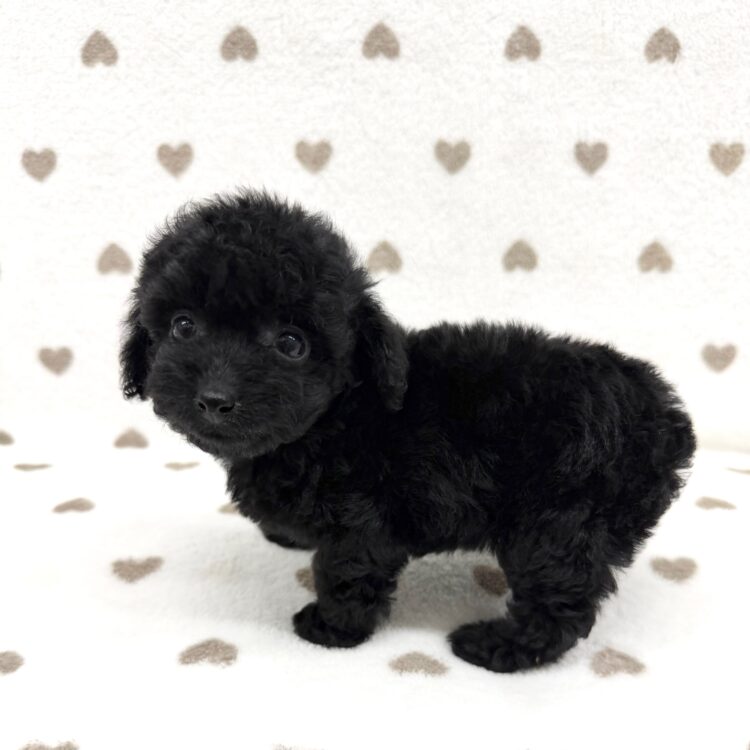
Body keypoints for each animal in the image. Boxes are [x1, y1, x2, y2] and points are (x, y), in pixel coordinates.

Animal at [121, 190, 696, 672]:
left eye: (291, 344)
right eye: (183, 326)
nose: (216, 399)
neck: (332, 419)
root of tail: (664, 419)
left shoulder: (362, 520)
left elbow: (346, 573)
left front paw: (331, 628)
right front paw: (285, 535)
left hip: (558, 528)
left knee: (559, 608)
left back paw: (493, 647)